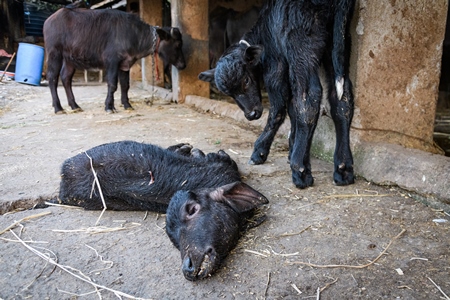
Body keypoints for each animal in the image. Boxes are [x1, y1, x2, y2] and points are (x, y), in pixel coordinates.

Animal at [44, 8, 186, 114]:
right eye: (178, 44)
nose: (183, 65)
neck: (133, 34)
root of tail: (49, 20)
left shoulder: (125, 64)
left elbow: (125, 85)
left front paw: (127, 105)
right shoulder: (112, 62)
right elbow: (112, 84)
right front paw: (109, 106)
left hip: (69, 60)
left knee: (66, 78)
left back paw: (75, 105)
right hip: (54, 54)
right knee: (52, 78)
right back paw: (58, 108)